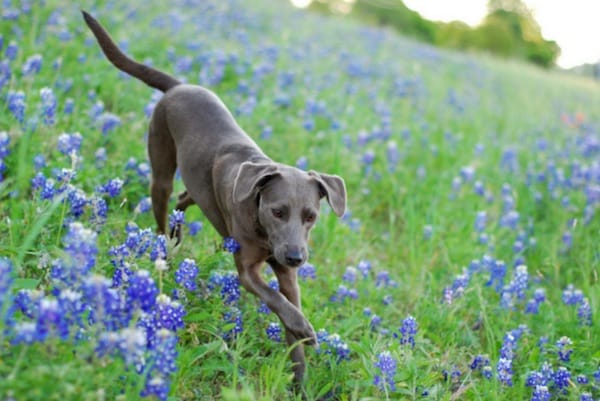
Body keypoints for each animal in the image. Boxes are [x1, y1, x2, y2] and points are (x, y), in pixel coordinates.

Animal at [83, 10, 346, 382]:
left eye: (311, 216)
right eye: (278, 211)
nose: (296, 256)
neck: (263, 229)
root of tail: (178, 85)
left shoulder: (286, 273)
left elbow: (288, 314)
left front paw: (300, 378)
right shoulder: (248, 270)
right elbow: (275, 300)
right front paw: (305, 330)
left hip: (199, 188)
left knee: (183, 201)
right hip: (161, 170)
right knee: (164, 212)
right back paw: (167, 250)